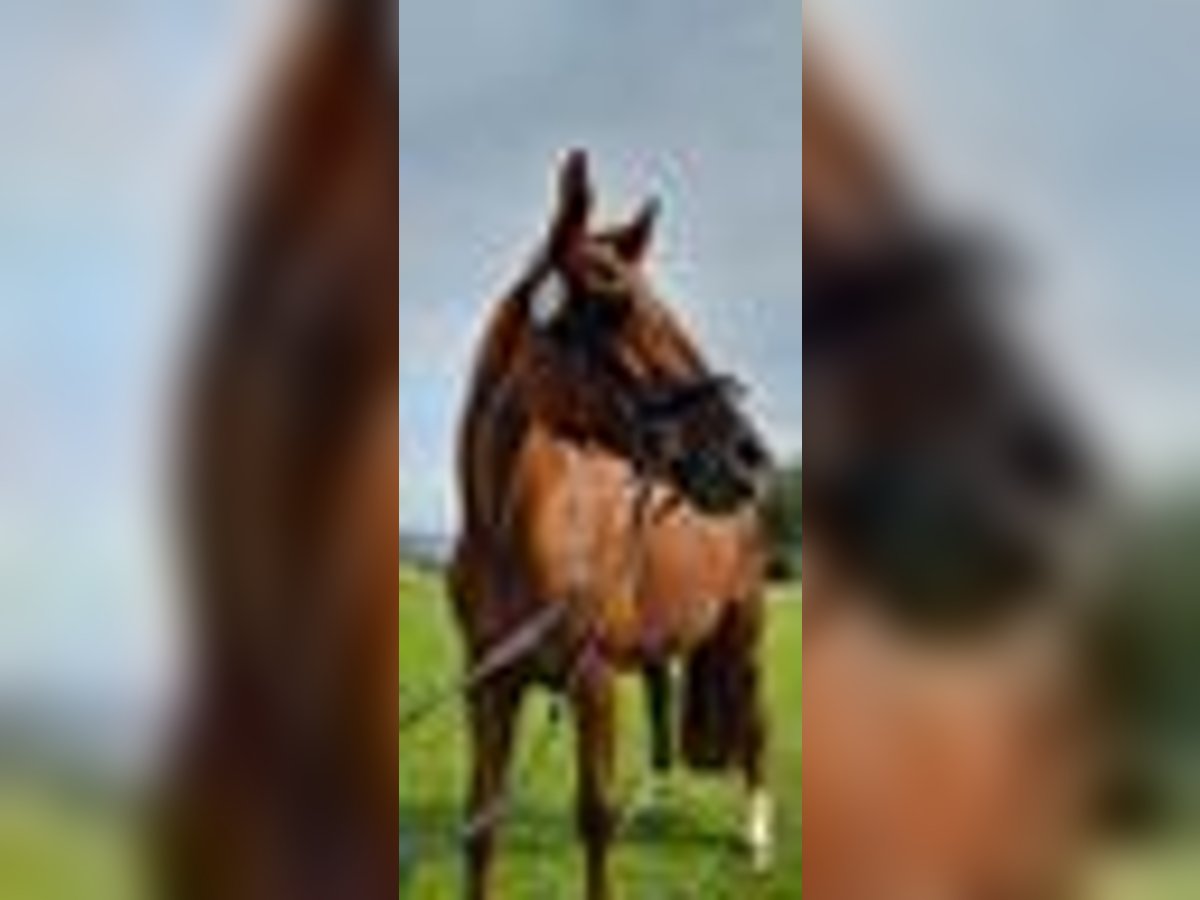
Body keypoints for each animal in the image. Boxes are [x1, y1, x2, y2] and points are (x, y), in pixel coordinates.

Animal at [450, 150, 775, 900]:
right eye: (614, 304)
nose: (749, 456)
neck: (510, 531)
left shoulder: (591, 684)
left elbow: (593, 819)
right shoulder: (488, 687)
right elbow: (482, 823)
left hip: (744, 636)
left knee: (754, 728)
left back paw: (756, 837)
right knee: (662, 702)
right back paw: (652, 797)